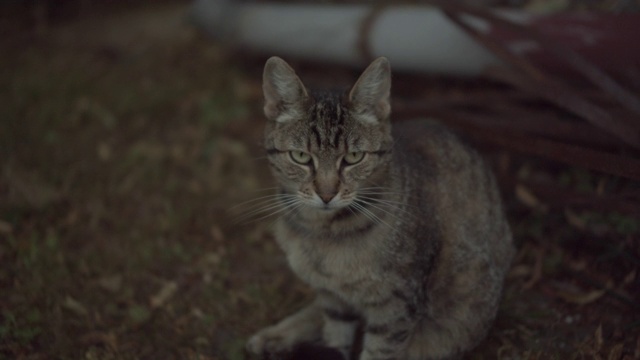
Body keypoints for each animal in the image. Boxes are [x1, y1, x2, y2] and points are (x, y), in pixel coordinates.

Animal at [245, 56, 516, 360]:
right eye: (301, 156)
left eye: (353, 157)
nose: (326, 194)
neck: (324, 232)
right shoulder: (334, 298)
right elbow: (335, 333)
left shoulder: (396, 306)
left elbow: (377, 352)